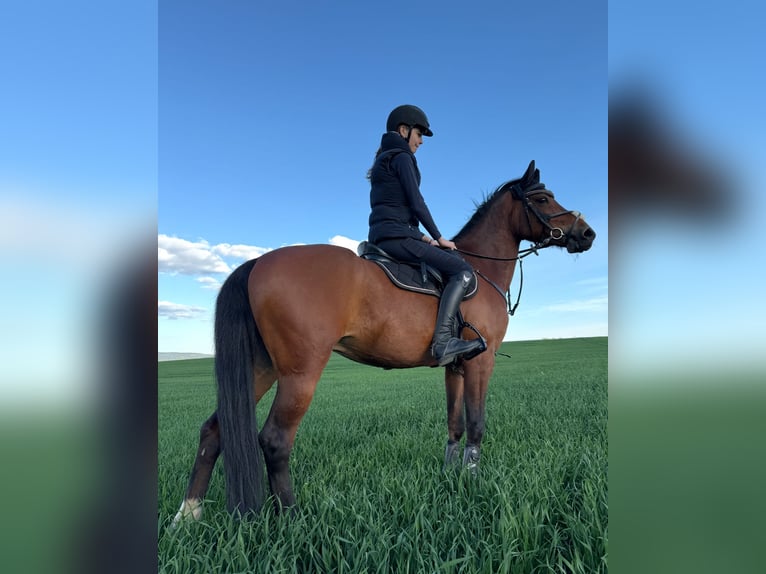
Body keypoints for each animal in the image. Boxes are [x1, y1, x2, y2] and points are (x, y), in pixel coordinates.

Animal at [171, 160, 596, 524]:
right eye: (544, 199)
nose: (587, 233)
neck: (478, 268)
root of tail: (257, 262)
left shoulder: (456, 367)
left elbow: (454, 425)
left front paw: (450, 477)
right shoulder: (481, 361)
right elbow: (476, 424)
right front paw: (474, 482)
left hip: (260, 367)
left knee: (214, 430)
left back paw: (187, 514)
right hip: (299, 373)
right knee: (275, 440)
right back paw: (290, 516)